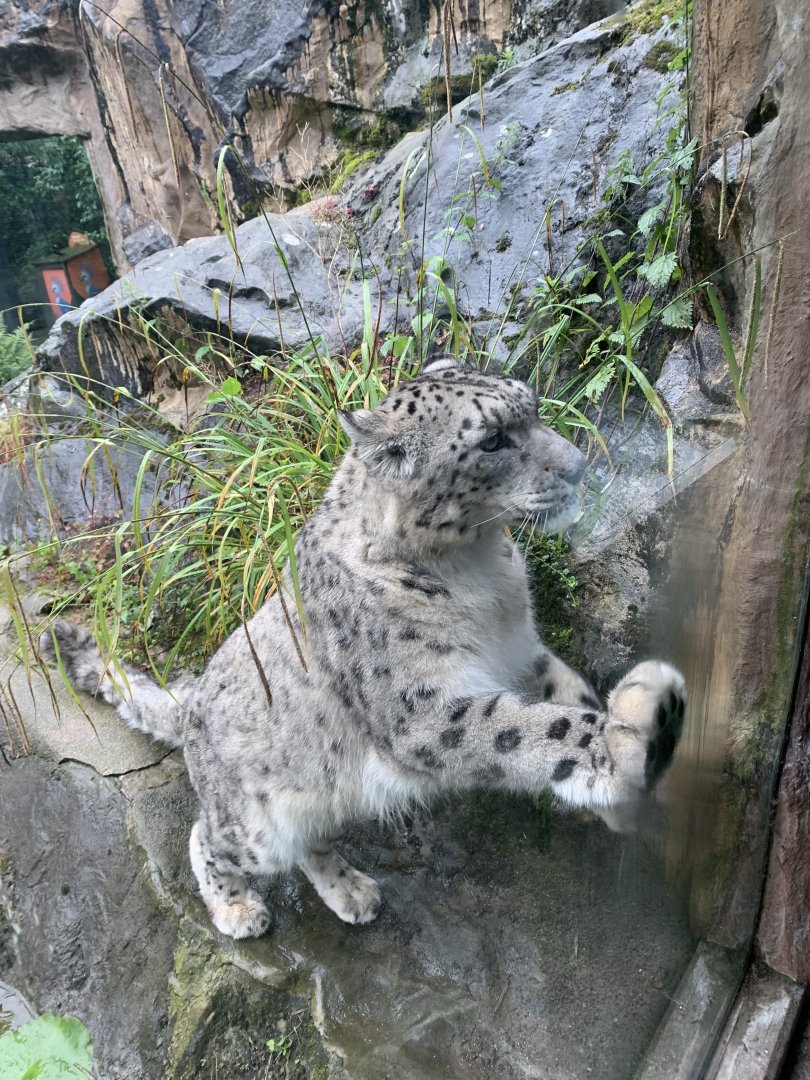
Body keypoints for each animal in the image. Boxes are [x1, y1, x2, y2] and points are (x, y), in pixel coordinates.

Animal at [42, 358, 686, 940]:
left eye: (532, 407)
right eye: (493, 440)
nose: (579, 466)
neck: (481, 575)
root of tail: (193, 698)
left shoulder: (520, 651)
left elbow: (567, 696)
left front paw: (619, 769)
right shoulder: (423, 714)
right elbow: (533, 730)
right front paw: (627, 743)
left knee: (311, 843)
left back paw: (351, 892)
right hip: (254, 828)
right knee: (207, 836)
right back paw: (236, 909)